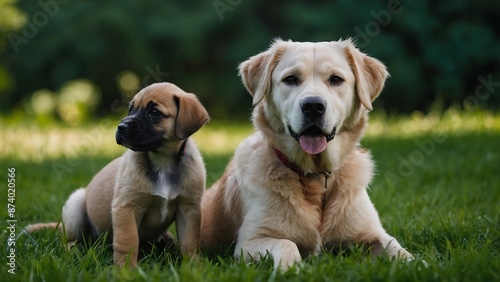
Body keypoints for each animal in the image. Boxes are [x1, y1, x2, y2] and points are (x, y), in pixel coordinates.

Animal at [25, 82, 209, 266]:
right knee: (70, 240)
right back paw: (76, 251)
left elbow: (189, 243)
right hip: (75, 207)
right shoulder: (126, 207)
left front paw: (193, 266)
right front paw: (126, 268)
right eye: (130, 110)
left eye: (154, 113)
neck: (162, 161)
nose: (121, 127)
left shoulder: (188, 209)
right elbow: (128, 241)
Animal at [200, 38, 414, 270]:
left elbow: (397, 248)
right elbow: (286, 243)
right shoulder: (249, 242)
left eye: (336, 79)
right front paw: (291, 269)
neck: (316, 175)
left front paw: (419, 264)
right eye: (290, 79)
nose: (313, 106)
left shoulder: (371, 233)